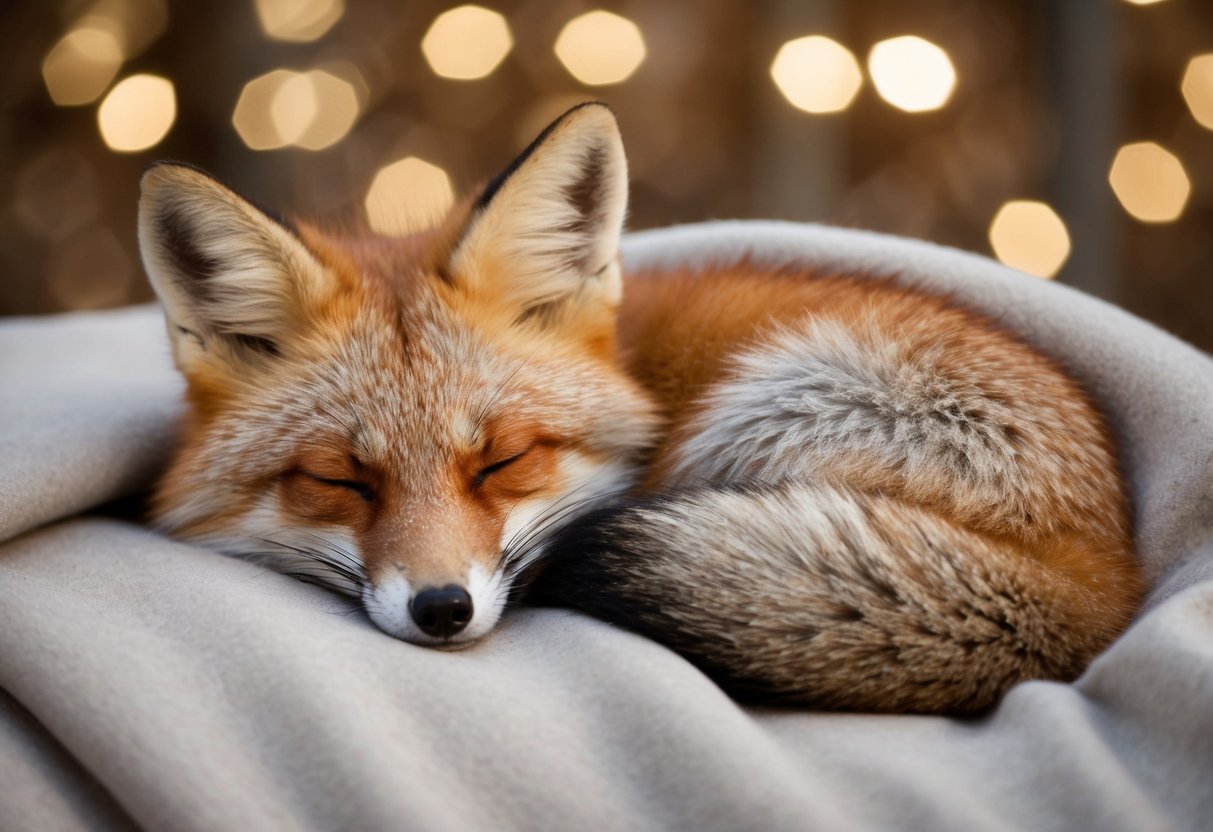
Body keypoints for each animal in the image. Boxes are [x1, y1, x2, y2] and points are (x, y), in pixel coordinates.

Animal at [138, 102, 1143, 714]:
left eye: (504, 461)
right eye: (339, 480)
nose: (442, 610)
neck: (635, 369)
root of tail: (1102, 587)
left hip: (764, 401)